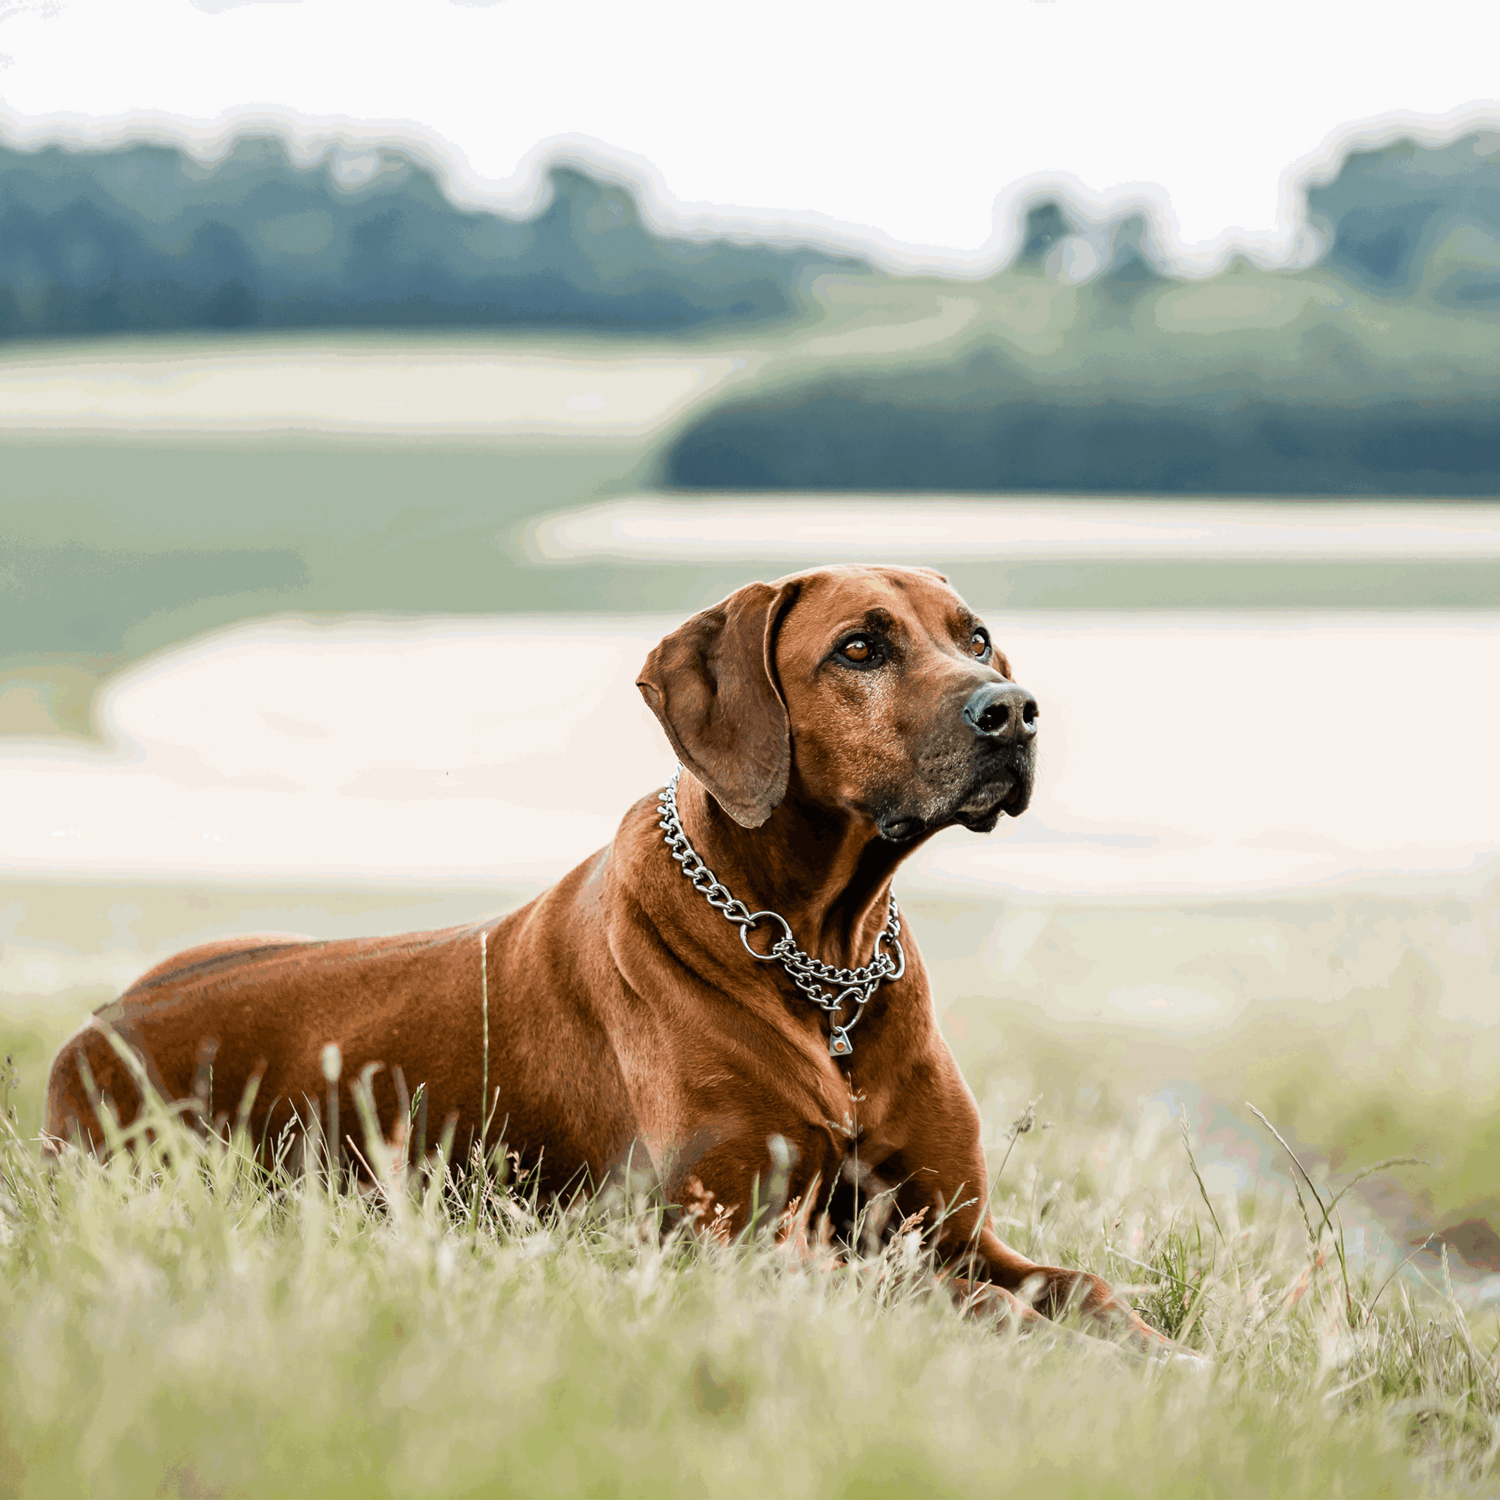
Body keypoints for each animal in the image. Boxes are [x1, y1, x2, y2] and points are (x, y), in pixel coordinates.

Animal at [41, 567, 1176, 1356]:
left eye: (974, 637)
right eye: (859, 647)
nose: (1013, 709)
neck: (822, 964)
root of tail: (93, 1030)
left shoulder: (953, 1228)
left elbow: (1080, 1289)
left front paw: (1171, 1358)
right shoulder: (735, 1238)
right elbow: (963, 1300)